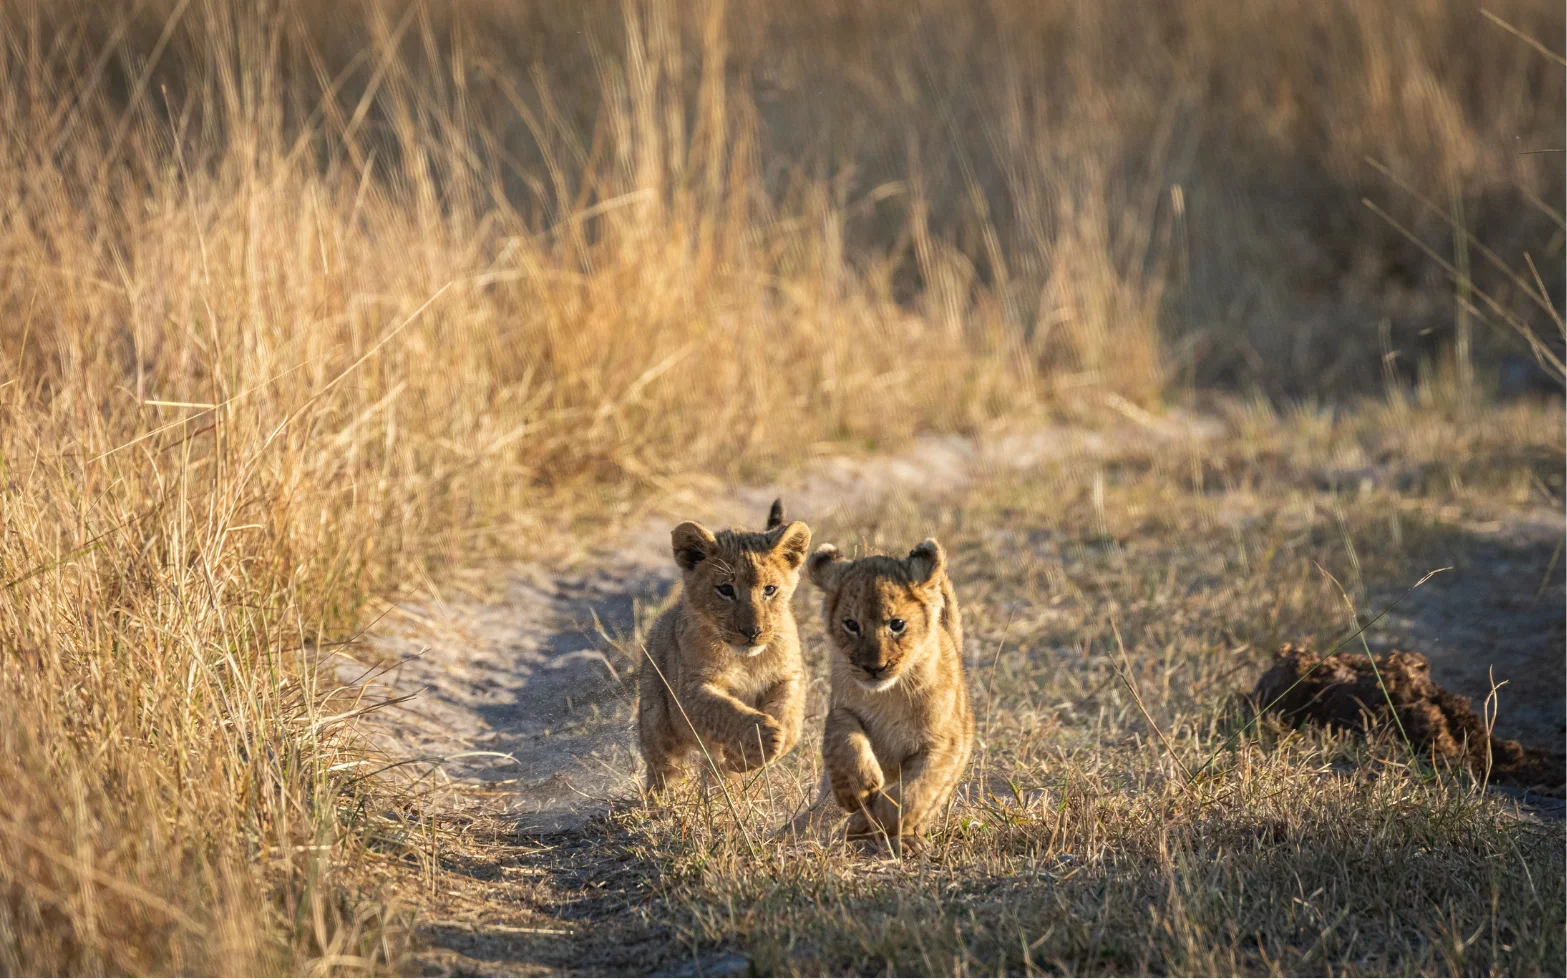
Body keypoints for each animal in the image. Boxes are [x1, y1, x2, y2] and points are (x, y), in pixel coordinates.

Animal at [637, 499, 811, 792]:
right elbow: (726, 710)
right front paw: (761, 740)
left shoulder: (788, 675)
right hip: (657, 723)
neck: (748, 659)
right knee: (663, 770)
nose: (752, 632)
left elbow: (789, 715)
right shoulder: (690, 691)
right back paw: (661, 800)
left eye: (769, 590)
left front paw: (749, 754)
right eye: (726, 590)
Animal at [805, 537, 973, 848]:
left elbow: (914, 793)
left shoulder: (944, 743)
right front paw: (856, 791)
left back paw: (903, 839)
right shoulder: (840, 707)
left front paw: (873, 820)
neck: (886, 695)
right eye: (851, 625)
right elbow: (844, 737)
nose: (874, 668)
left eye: (896, 624)